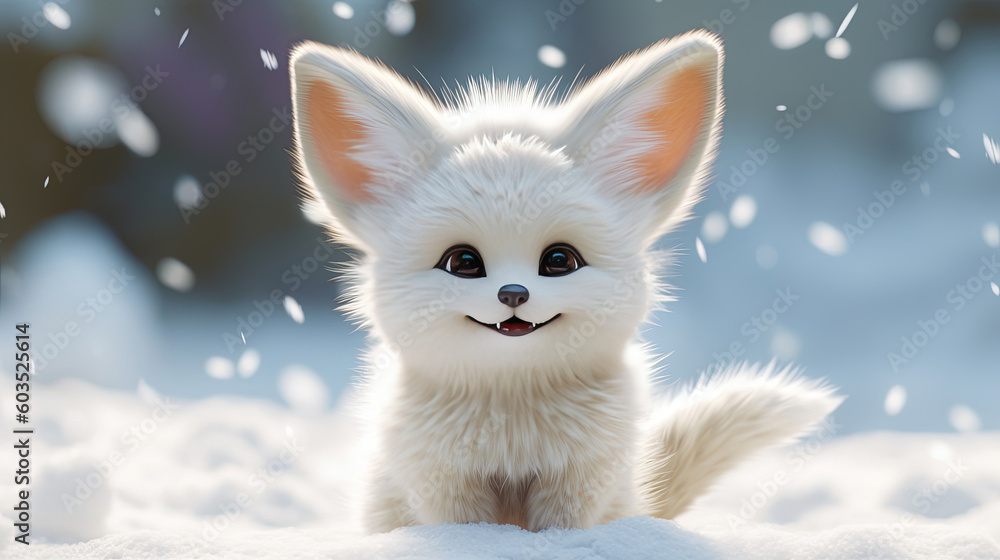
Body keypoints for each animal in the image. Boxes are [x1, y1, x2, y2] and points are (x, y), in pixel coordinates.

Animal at [288, 31, 843, 533]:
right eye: (462, 262)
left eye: (559, 260)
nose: (513, 295)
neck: (512, 411)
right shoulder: (442, 480)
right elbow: (466, 530)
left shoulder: (581, 478)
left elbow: (564, 531)